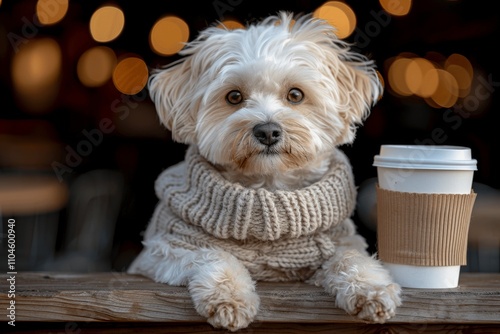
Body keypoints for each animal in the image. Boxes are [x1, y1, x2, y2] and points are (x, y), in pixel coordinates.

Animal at [128, 11, 398, 332]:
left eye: (295, 94)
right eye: (234, 97)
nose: (267, 131)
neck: (267, 190)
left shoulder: (338, 242)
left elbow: (350, 256)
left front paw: (371, 288)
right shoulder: (158, 252)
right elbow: (212, 254)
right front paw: (229, 298)